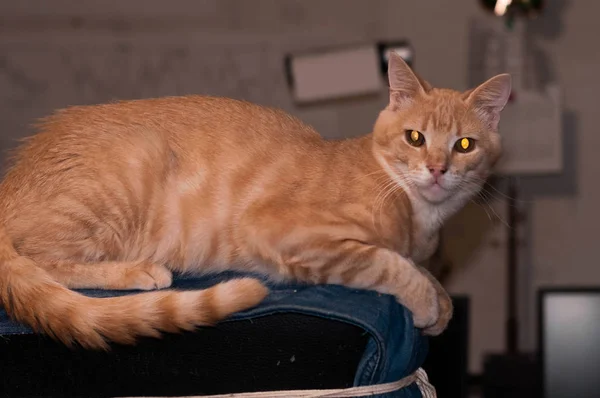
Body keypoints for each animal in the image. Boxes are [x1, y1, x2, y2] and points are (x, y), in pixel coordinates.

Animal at [0, 53, 508, 348]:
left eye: (464, 145)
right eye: (415, 138)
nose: (438, 170)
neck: (417, 212)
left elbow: (419, 267)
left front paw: (441, 299)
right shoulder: (286, 233)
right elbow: (386, 263)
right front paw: (426, 300)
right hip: (128, 167)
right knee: (44, 261)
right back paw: (138, 270)